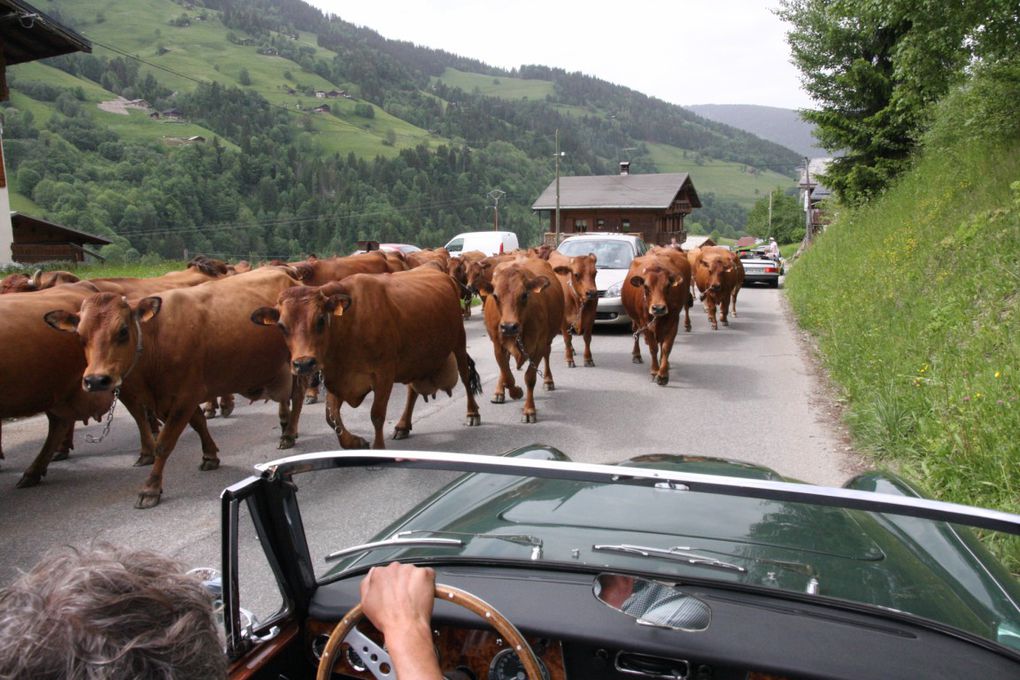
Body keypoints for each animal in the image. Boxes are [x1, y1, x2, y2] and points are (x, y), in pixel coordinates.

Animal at [46, 269, 301, 507]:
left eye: (123, 331)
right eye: (80, 336)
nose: (97, 380)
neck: (155, 339)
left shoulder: (184, 397)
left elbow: (164, 443)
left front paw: (150, 488)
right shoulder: (173, 399)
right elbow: (198, 423)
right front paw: (210, 455)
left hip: (297, 366)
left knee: (296, 398)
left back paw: (289, 433)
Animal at [250, 269, 481, 448]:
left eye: (320, 319)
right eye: (281, 326)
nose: (304, 363)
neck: (347, 328)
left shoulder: (384, 373)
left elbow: (376, 414)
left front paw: (378, 449)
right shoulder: (336, 378)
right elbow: (331, 417)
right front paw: (355, 442)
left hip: (458, 343)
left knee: (465, 377)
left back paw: (472, 414)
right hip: (414, 359)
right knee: (412, 391)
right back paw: (403, 425)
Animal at [477, 257, 567, 422]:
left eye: (524, 295)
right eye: (495, 296)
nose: (509, 327)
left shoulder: (538, 346)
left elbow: (530, 378)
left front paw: (529, 410)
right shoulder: (497, 346)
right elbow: (507, 375)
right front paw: (515, 392)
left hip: (548, 340)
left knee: (547, 356)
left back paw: (548, 381)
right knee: (505, 367)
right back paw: (499, 392)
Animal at [620, 247, 693, 385]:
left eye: (668, 286)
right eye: (646, 287)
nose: (658, 308)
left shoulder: (673, 321)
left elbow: (666, 347)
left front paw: (663, 374)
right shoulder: (645, 323)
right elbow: (653, 348)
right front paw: (654, 371)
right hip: (635, 320)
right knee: (636, 334)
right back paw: (636, 355)